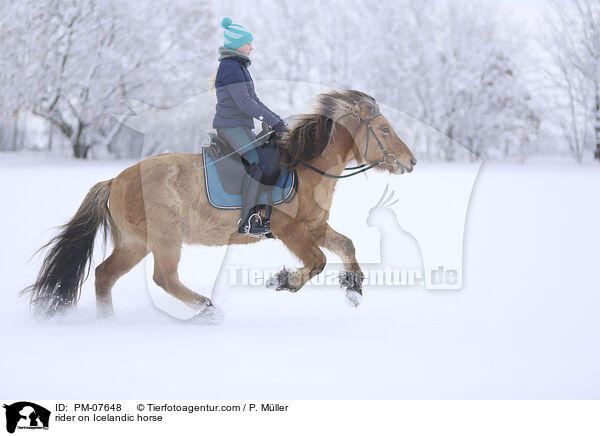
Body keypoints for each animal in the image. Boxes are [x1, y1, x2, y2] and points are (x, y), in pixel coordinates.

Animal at [24, 89, 418, 320]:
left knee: (104, 275)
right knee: (163, 277)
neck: (304, 167)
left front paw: (354, 290)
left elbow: (346, 245)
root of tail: (114, 181)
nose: (410, 161)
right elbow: (318, 261)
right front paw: (284, 281)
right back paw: (207, 309)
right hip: (163, 239)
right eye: (384, 130)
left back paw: (109, 322)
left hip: (135, 243)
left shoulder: (315, 226)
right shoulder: (290, 230)